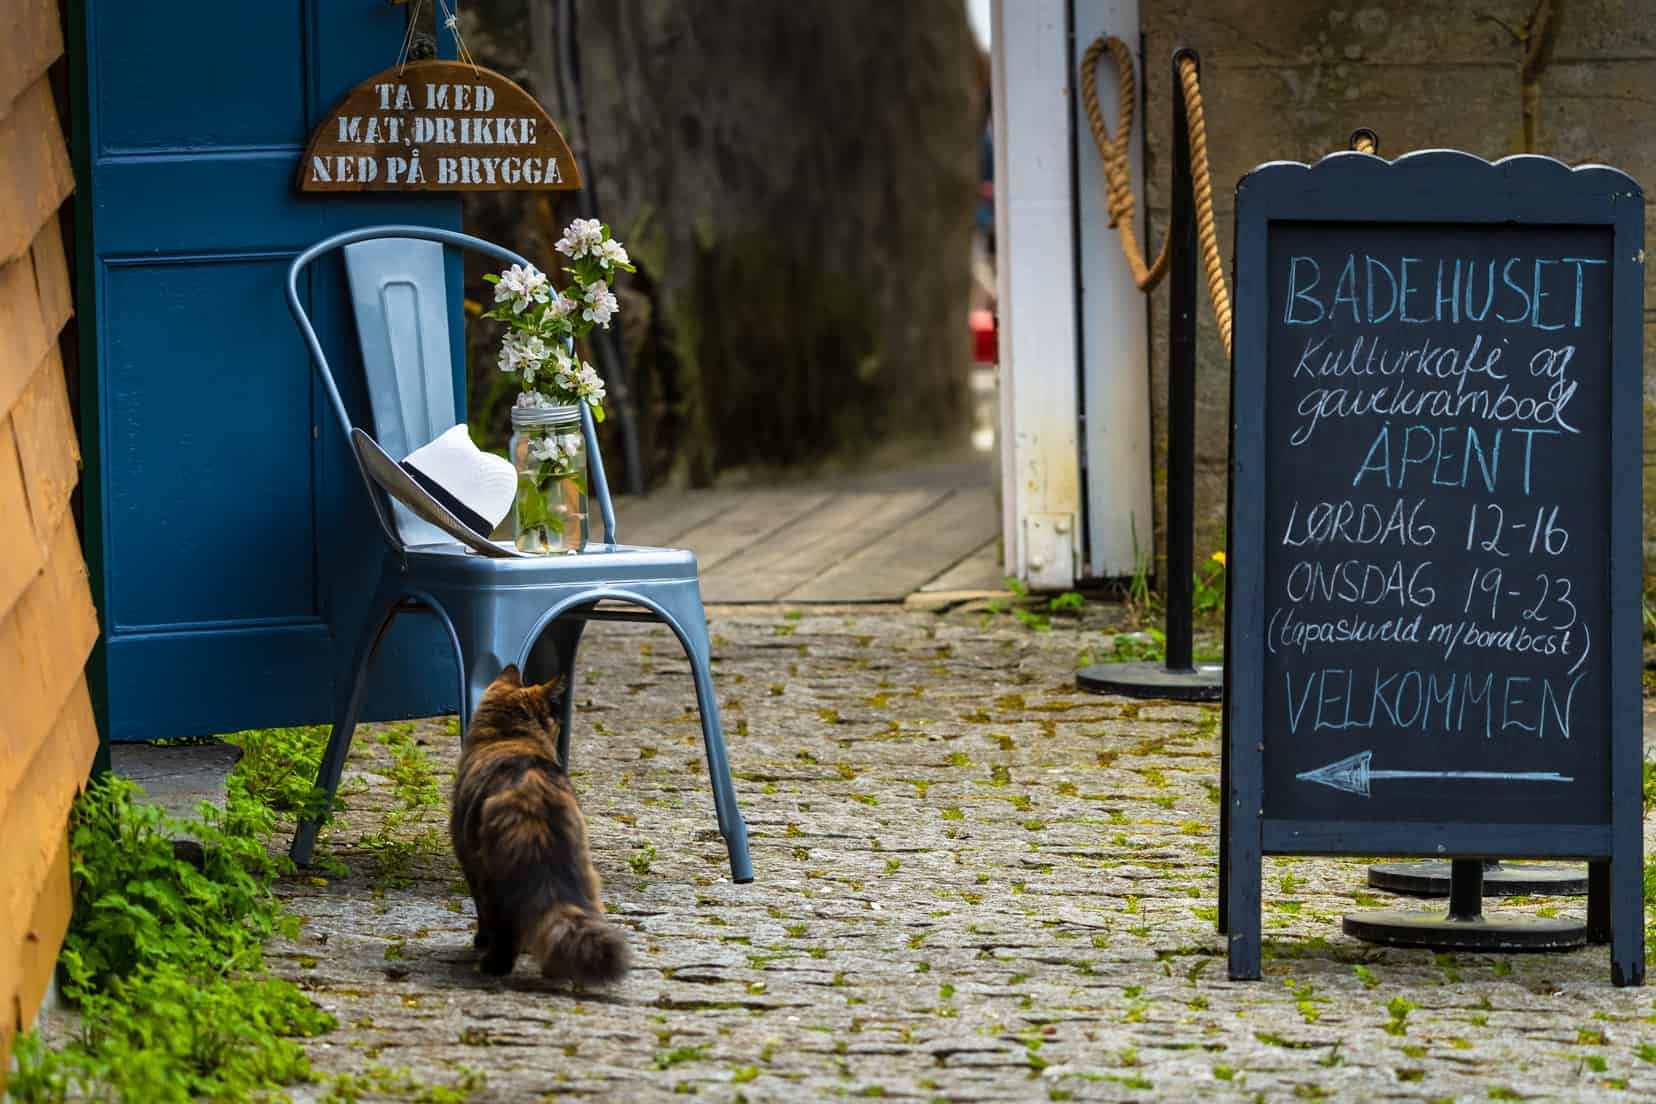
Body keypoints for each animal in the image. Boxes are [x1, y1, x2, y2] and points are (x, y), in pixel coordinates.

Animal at [447, 665, 625, 986]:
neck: (509, 736)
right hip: (583, 872)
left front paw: (482, 940)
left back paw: (493, 964)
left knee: (505, 928)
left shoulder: (470, 864)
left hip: (495, 876)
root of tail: (534, 792)